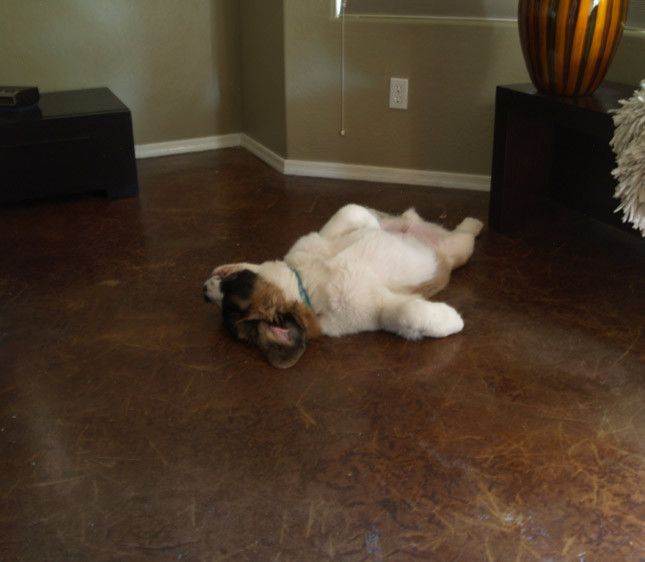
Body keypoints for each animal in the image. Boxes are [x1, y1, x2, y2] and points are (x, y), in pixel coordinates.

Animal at [204, 205, 480, 368]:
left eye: (231, 287)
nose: (204, 292)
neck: (309, 286)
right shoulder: (378, 309)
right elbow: (408, 313)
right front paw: (453, 321)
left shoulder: (322, 237)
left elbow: (351, 211)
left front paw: (375, 229)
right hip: (462, 248)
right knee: (465, 235)